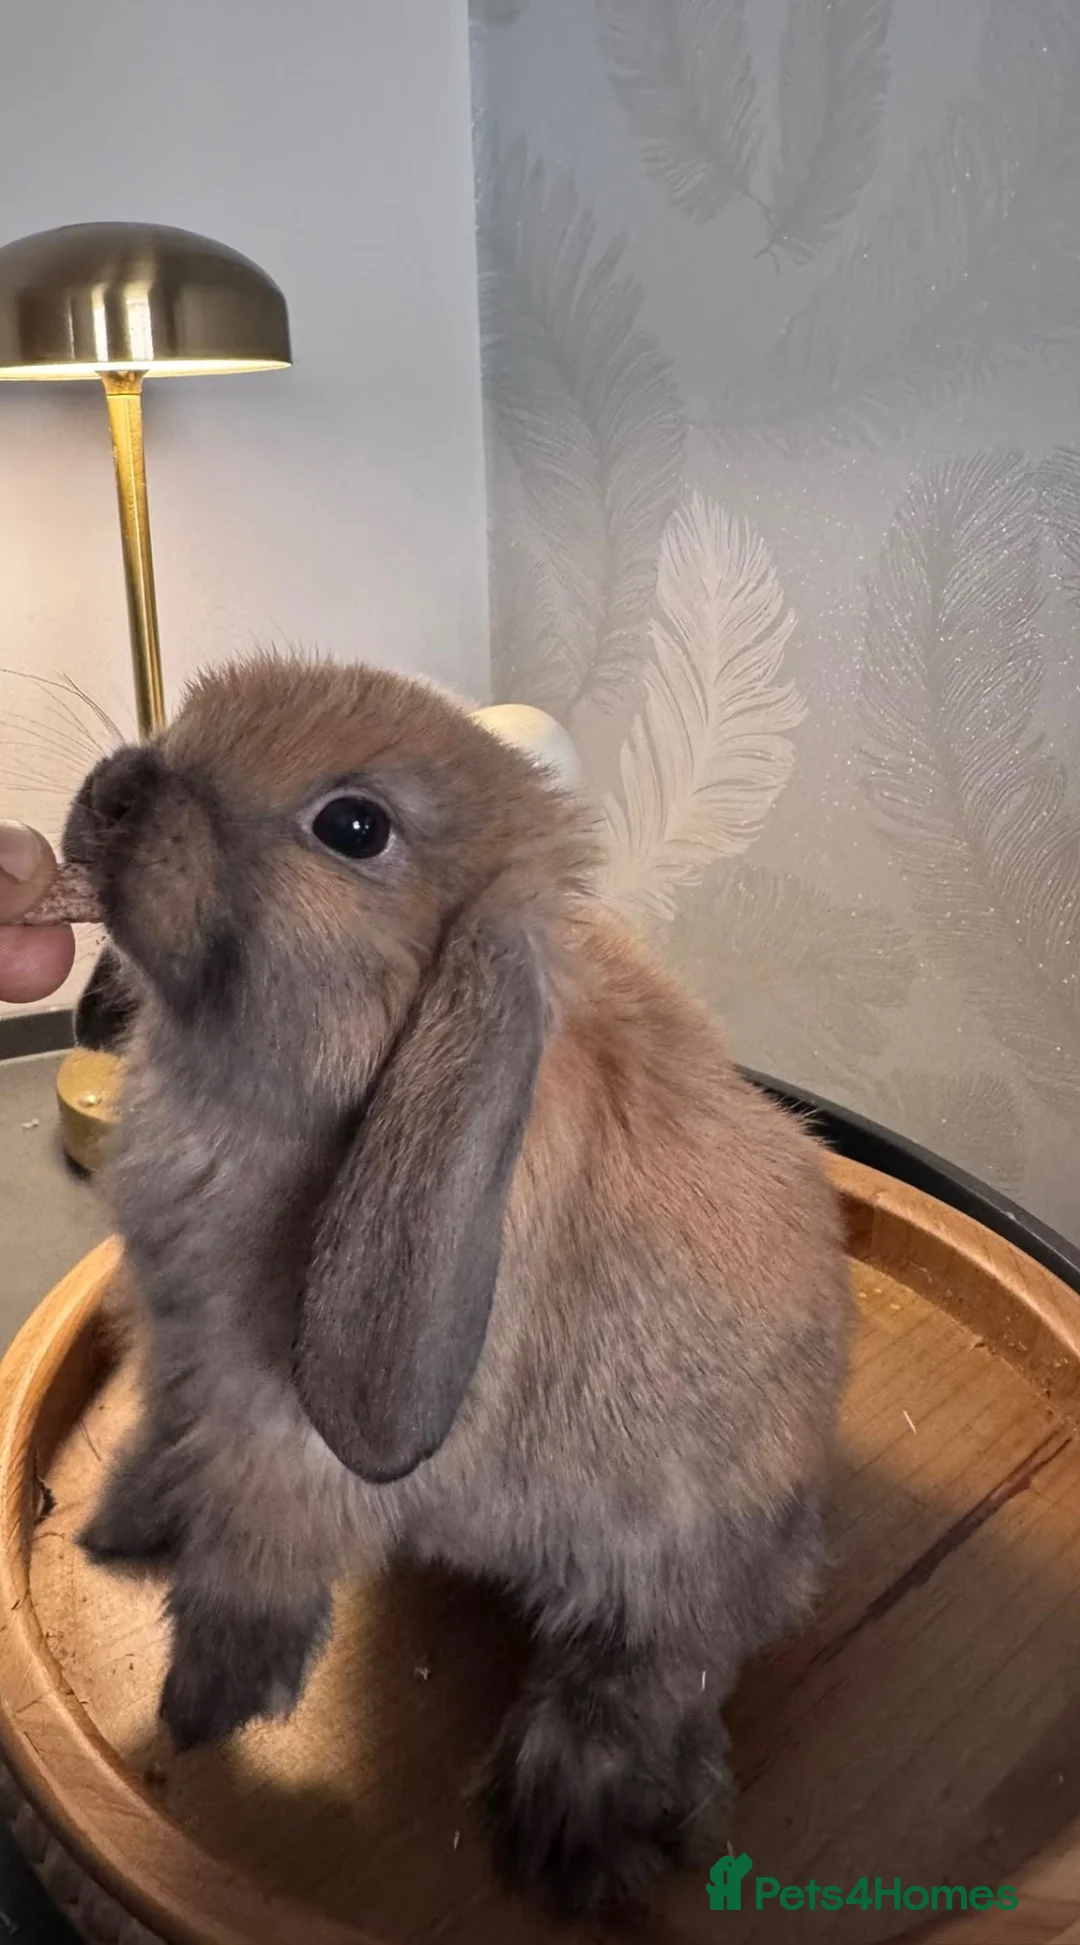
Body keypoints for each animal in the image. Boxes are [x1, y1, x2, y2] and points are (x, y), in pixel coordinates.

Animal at [63, 651, 853, 1919]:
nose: (119, 787)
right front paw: (117, 1531)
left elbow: (247, 1564)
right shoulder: (177, 1362)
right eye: (186, 720)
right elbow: (156, 1448)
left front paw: (199, 1709)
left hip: (678, 1550)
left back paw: (567, 1827)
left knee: (659, 1666)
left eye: (353, 827)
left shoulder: (286, 1444)